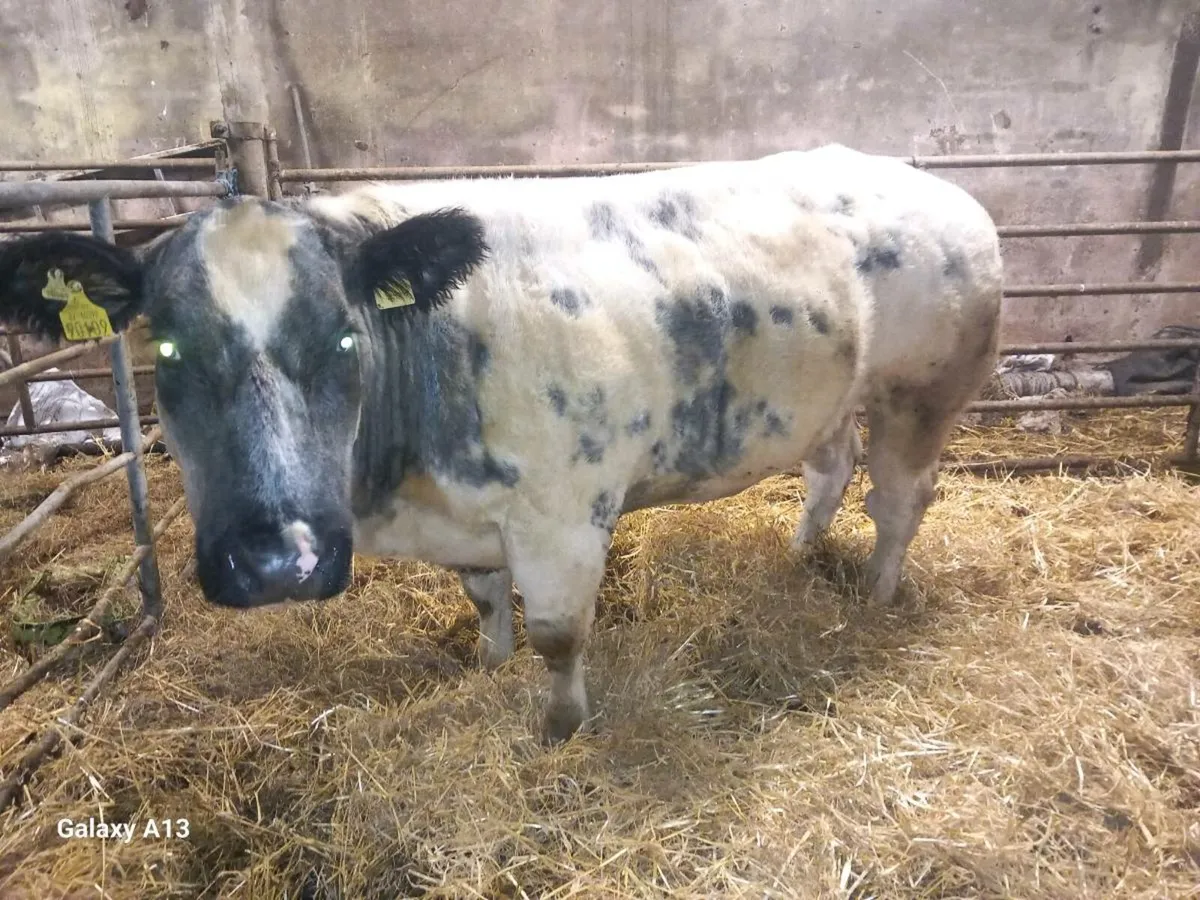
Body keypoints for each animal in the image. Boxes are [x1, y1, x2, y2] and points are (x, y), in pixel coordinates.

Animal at [0, 145, 1002, 743]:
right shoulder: (467, 521)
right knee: (831, 468)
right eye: (165, 349)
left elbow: (559, 635)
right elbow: (484, 601)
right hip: (835, 395)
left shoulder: (564, 517)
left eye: (345, 338)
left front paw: (560, 728)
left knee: (900, 499)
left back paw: (876, 593)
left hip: (927, 390)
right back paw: (800, 555)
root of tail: (940, 186)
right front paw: (487, 667)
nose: (278, 559)